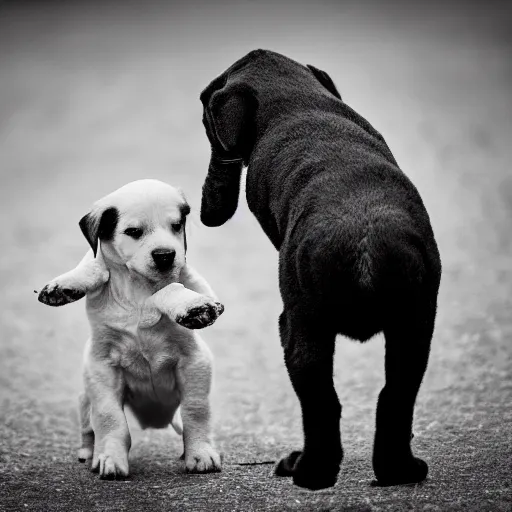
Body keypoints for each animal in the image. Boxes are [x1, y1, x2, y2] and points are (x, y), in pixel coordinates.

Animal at [37, 180, 225, 480]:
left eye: (176, 226)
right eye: (133, 232)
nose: (165, 255)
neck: (137, 288)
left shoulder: (196, 362)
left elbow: (196, 411)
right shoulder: (101, 368)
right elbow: (109, 417)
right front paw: (63, 286)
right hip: (86, 396)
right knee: (89, 425)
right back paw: (90, 453)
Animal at [198, 50, 442, 490]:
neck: (295, 100)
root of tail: (365, 244)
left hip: (301, 331)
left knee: (322, 405)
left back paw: (308, 470)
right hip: (414, 330)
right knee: (394, 397)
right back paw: (398, 470)